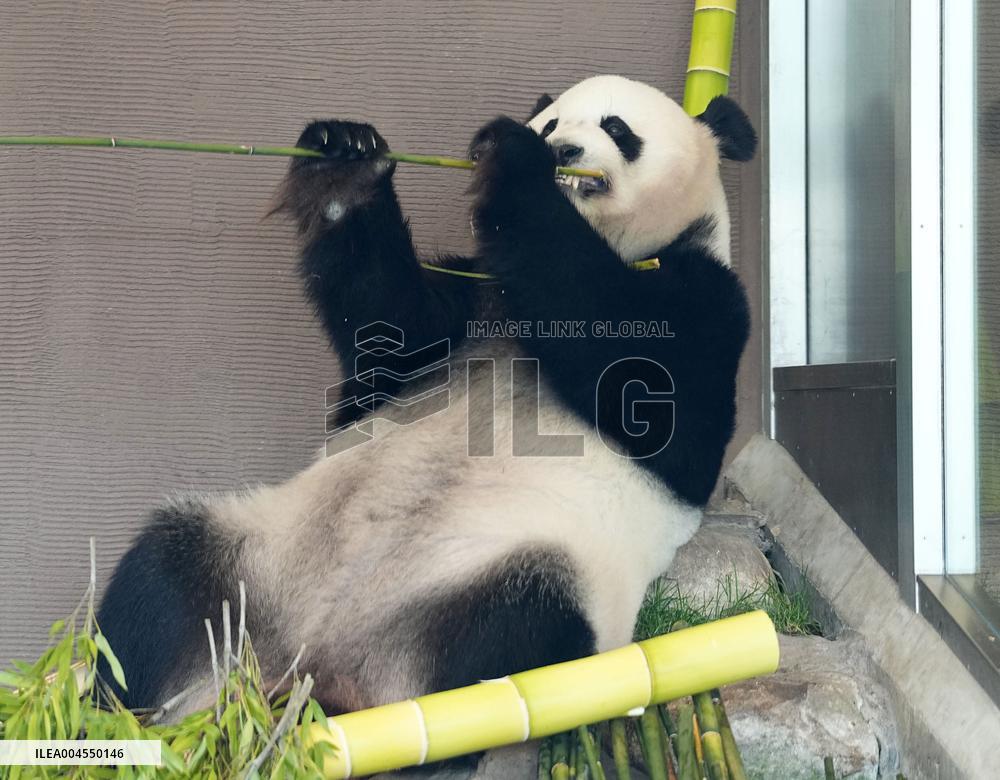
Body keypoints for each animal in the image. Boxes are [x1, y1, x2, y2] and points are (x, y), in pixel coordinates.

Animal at [97, 75, 756, 722]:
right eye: (553, 121)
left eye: (617, 129)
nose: (563, 149)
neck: (617, 242)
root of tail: (313, 664)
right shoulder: (471, 301)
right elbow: (391, 330)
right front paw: (345, 159)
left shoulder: (706, 303)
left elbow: (637, 376)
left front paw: (514, 161)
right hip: (253, 557)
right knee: (160, 582)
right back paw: (120, 712)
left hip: (523, 576)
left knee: (511, 635)